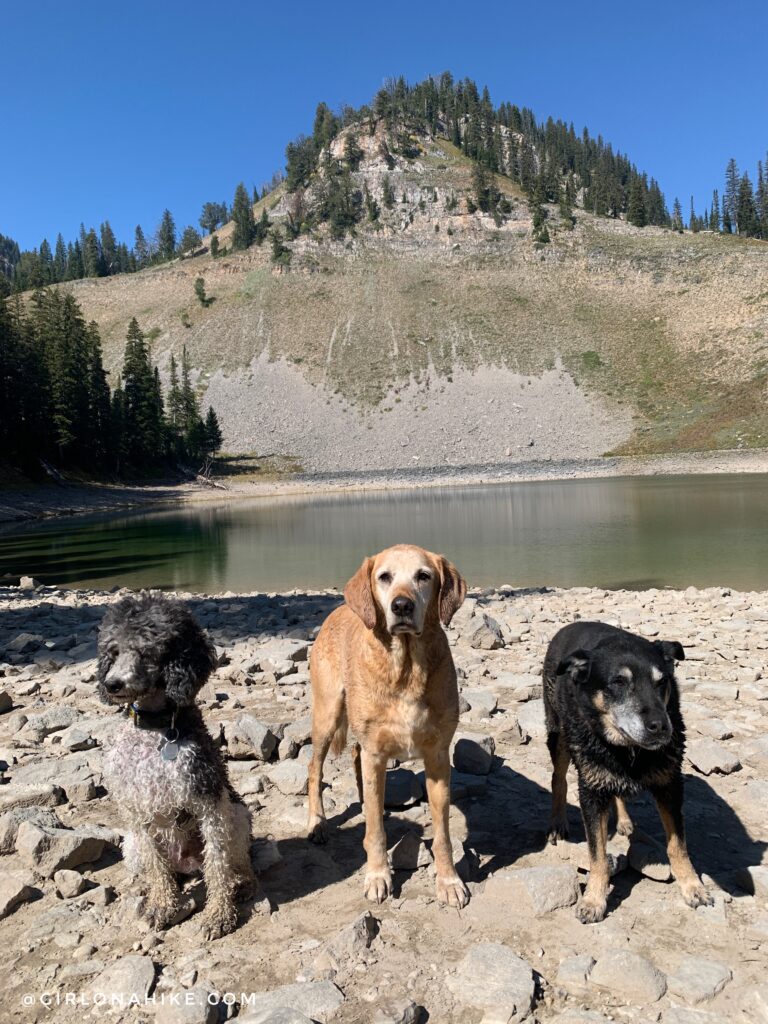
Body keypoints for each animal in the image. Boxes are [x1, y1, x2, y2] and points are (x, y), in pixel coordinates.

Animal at [97, 598, 256, 937]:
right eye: (113, 651)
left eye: (146, 652)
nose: (111, 684)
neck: (156, 730)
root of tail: (187, 864)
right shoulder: (136, 811)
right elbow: (157, 868)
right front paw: (162, 905)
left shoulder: (209, 801)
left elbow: (218, 866)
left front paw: (219, 915)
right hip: (131, 845)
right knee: (162, 870)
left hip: (237, 816)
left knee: (234, 863)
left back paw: (242, 883)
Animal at [309, 544, 468, 905]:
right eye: (384, 577)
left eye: (424, 576)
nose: (402, 605)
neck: (405, 666)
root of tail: (339, 608)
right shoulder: (377, 752)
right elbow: (375, 834)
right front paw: (378, 875)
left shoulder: (438, 758)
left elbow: (442, 832)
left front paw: (449, 880)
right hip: (328, 714)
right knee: (315, 768)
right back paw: (317, 822)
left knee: (356, 760)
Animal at [544, 618, 712, 925]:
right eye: (618, 682)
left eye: (662, 682)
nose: (661, 726)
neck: (629, 749)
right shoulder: (592, 791)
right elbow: (597, 854)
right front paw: (593, 900)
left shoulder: (670, 785)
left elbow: (678, 844)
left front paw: (693, 886)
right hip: (558, 733)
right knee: (558, 778)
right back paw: (557, 821)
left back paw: (624, 821)